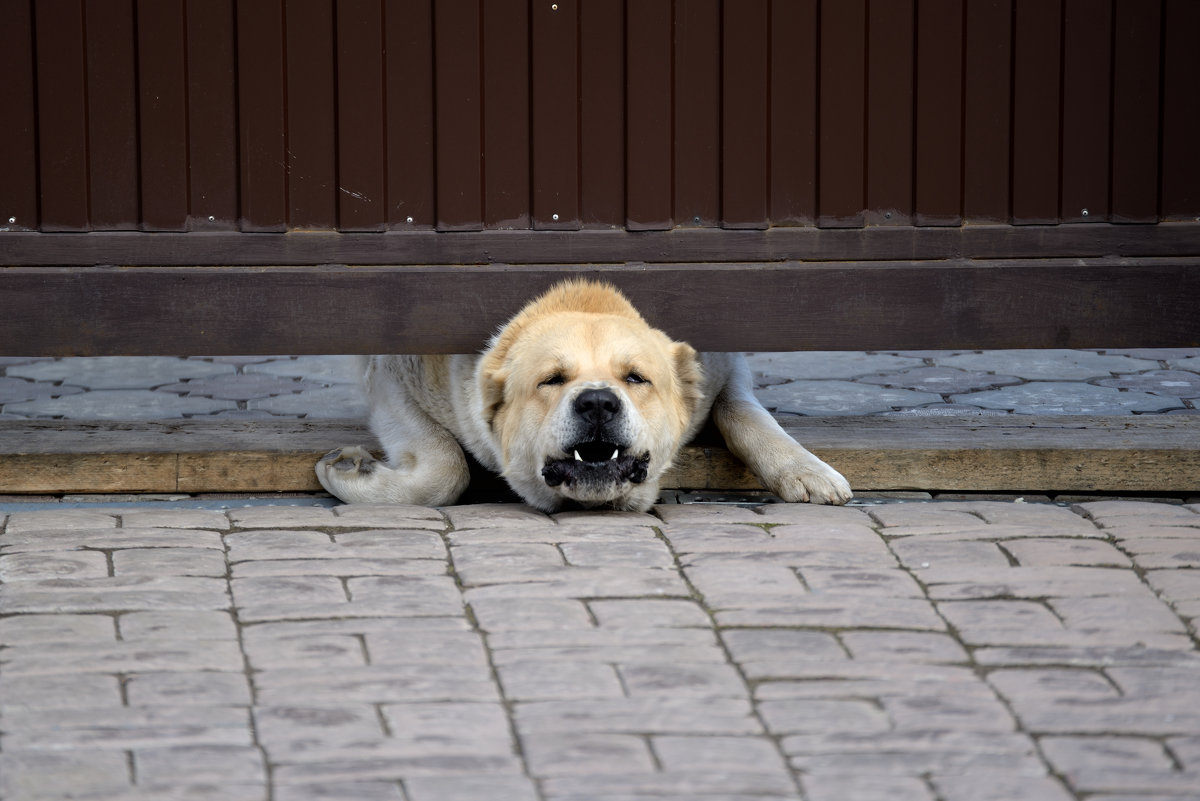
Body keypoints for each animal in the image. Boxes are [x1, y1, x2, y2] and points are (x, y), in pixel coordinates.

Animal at [314, 278, 849, 510]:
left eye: (636, 378)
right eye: (550, 380)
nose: (597, 402)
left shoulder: (723, 358)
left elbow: (744, 412)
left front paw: (804, 470)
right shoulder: (393, 370)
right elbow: (447, 470)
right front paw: (352, 469)